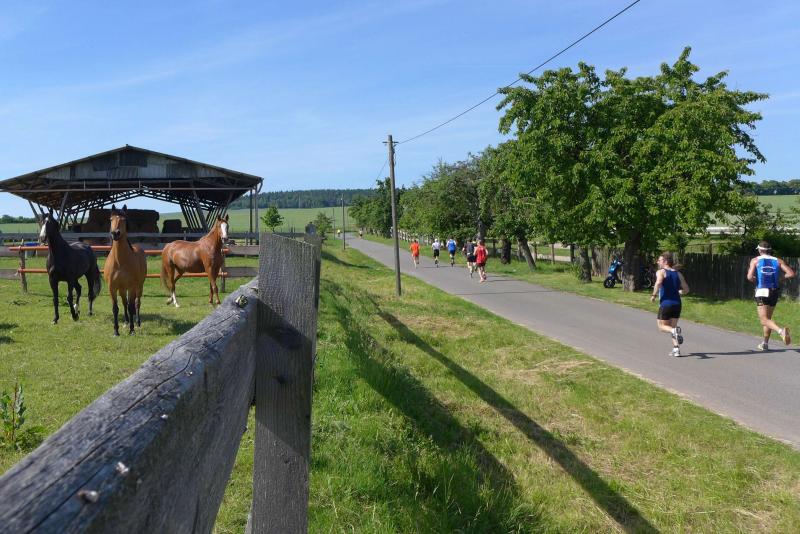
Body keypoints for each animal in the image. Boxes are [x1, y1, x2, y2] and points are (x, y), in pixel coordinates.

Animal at [104, 205, 147, 336]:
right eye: (111, 219)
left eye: (123, 219)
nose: (115, 233)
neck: (119, 261)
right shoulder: (112, 287)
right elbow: (115, 308)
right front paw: (116, 331)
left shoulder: (132, 287)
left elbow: (131, 307)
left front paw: (132, 330)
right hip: (122, 289)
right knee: (124, 302)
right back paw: (127, 321)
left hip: (139, 286)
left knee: (137, 303)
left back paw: (137, 322)